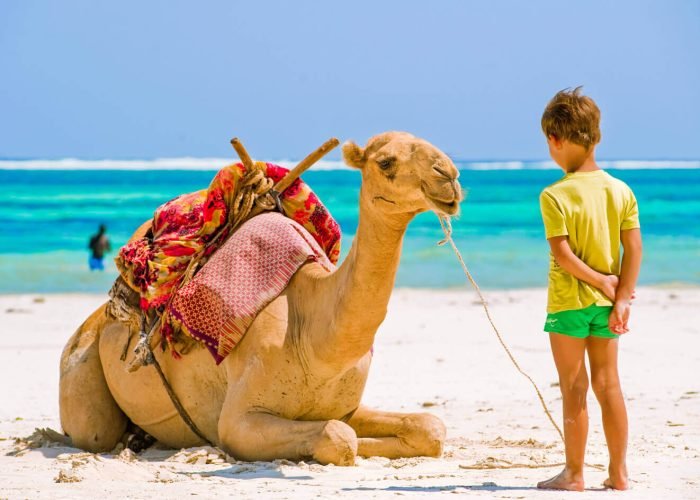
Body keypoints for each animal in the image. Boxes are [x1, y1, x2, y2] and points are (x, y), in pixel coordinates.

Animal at [59, 131, 463, 465]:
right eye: (386, 161)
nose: (450, 176)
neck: (314, 336)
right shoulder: (239, 421)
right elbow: (340, 436)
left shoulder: (347, 405)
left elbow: (428, 427)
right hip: (82, 371)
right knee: (93, 432)